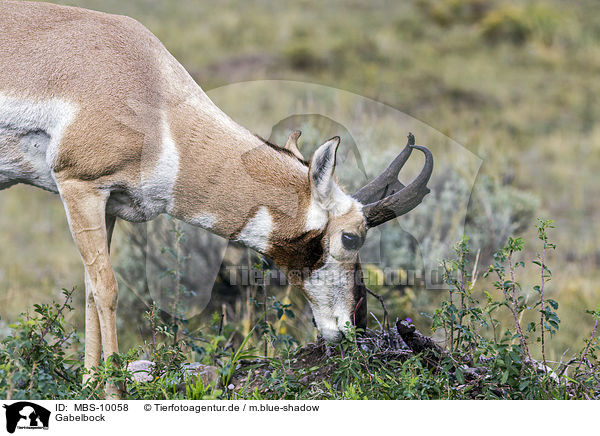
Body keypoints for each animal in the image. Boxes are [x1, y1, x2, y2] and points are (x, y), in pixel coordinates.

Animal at [0, 0, 432, 390]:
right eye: (352, 237)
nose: (356, 327)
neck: (150, 90)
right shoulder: (79, 188)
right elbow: (107, 289)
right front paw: (112, 390)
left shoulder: (106, 205)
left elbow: (90, 291)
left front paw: (90, 385)